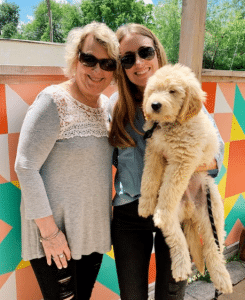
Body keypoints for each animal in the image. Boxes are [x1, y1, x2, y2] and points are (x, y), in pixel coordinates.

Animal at [139, 63, 233, 296]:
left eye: (172, 91)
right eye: (153, 91)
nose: (154, 105)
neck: (170, 126)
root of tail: (191, 212)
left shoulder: (182, 160)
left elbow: (169, 188)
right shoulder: (154, 153)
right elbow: (149, 179)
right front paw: (144, 204)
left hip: (213, 212)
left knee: (213, 248)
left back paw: (222, 280)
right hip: (177, 218)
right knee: (176, 239)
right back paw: (181, 266)